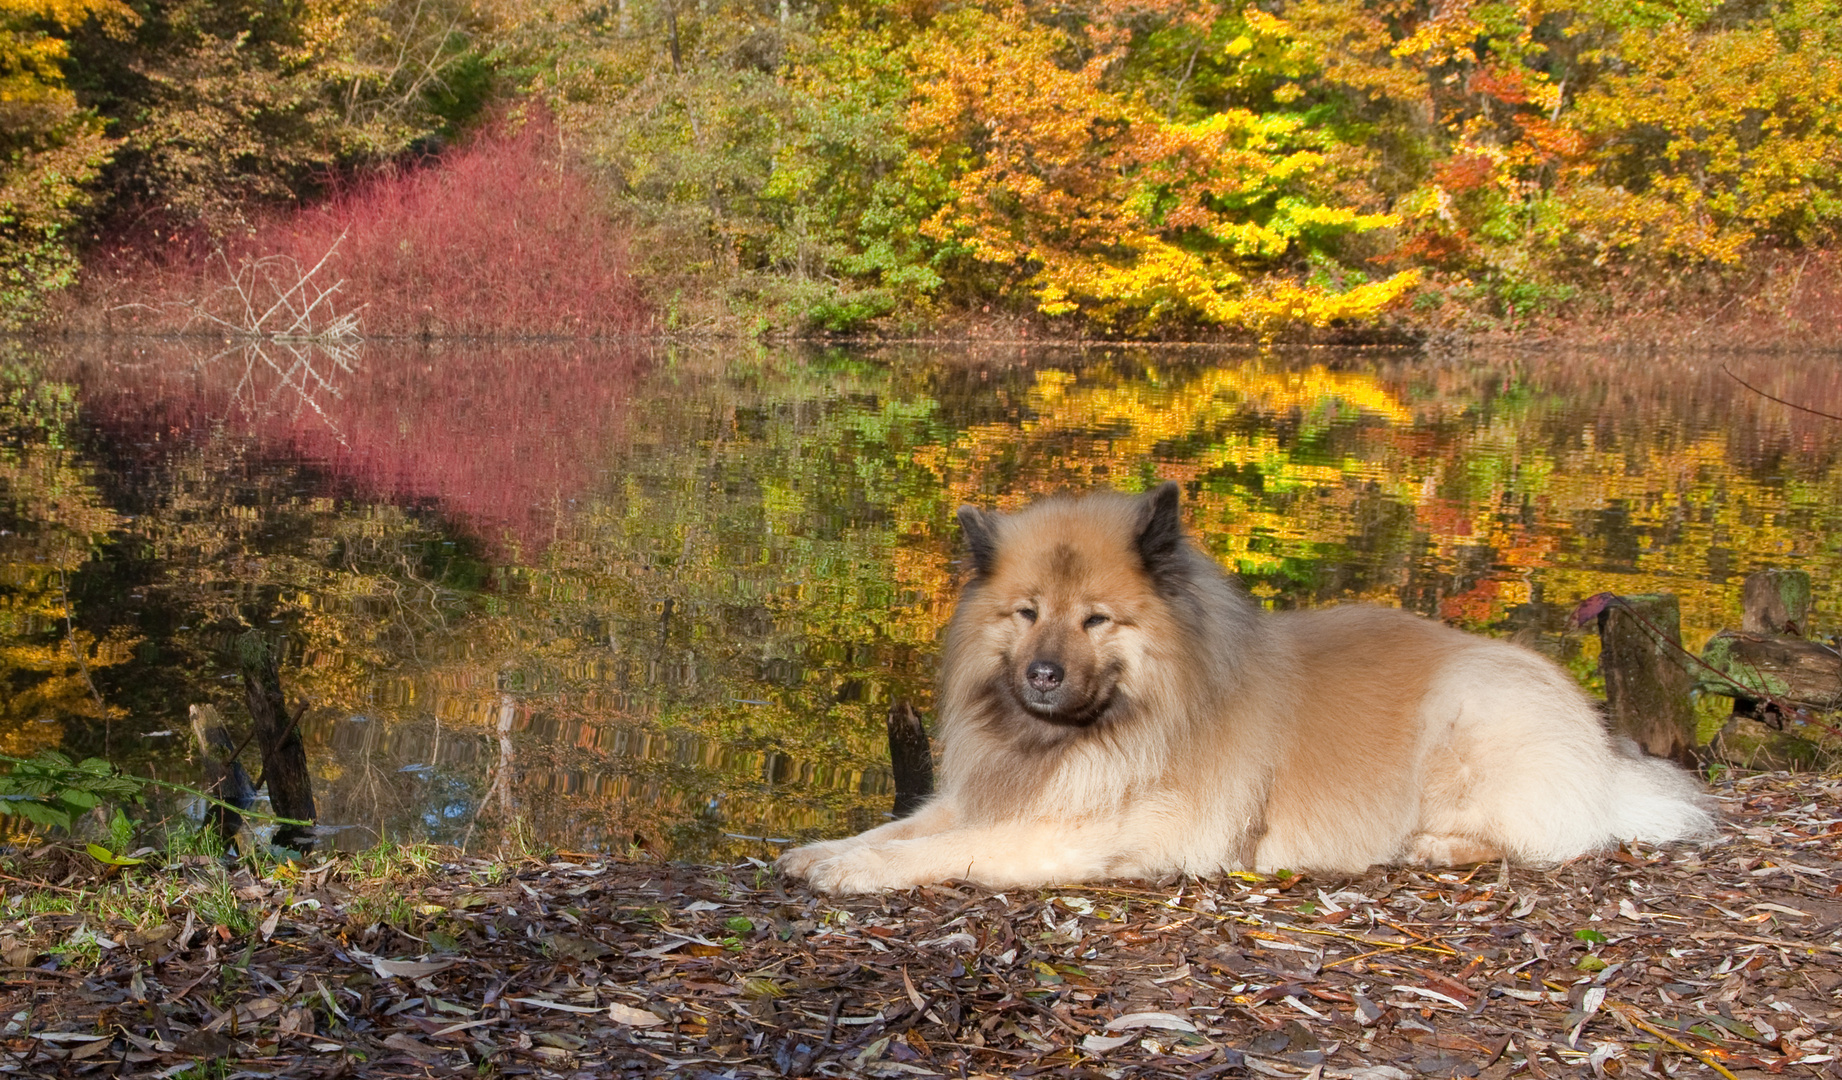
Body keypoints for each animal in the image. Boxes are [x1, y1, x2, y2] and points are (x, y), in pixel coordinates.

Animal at [777, 482, 1709, 888]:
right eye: (1026, 613)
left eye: (1097, 621)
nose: (1042, 675)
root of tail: (1603, 754)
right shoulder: (992, 796)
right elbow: (902, 825)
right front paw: (824, 851)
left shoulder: (1083, 834)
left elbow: (940, 851)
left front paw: (855, 874)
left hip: (1467, 719)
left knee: (1550, 837)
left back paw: (1433, 846)